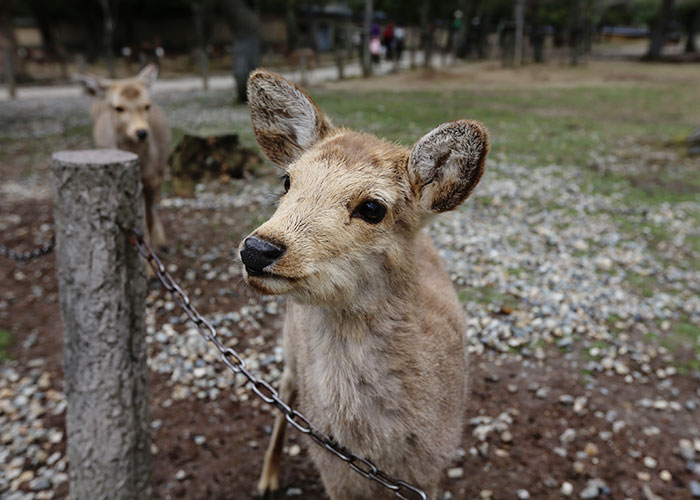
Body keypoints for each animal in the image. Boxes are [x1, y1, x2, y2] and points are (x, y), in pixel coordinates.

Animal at [75, 64, 170, 248]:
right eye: (118, 107)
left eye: (147, 105)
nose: (141, 132)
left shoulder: (153, 178)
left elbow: (149, 214)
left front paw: (156, 243)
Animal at [238, 70, 490, 500]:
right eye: (288, 180)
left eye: (373, 208)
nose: (257, 249)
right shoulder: (333, 473)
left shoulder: (431, 470)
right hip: (290, 344)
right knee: (284, 389)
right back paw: (268, 478)